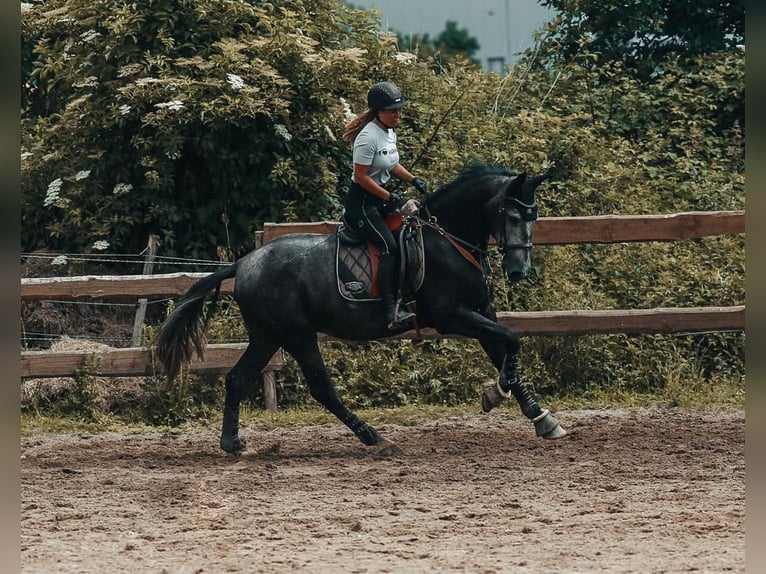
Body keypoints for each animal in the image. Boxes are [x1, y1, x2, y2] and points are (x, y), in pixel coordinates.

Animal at [156, 164, 568, 456]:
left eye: (533, 217)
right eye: (511, 216)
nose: (518, 271)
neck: (449, 239)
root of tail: (243, 264)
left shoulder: (482, 311)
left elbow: (505, 350)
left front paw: (541, 417)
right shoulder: (452, 315)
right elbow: (512, 340)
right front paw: (495, 394)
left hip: (267, 335)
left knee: (237, 379)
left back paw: (232, 444)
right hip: (296, 333)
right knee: (321, 387)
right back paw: (375, 438)